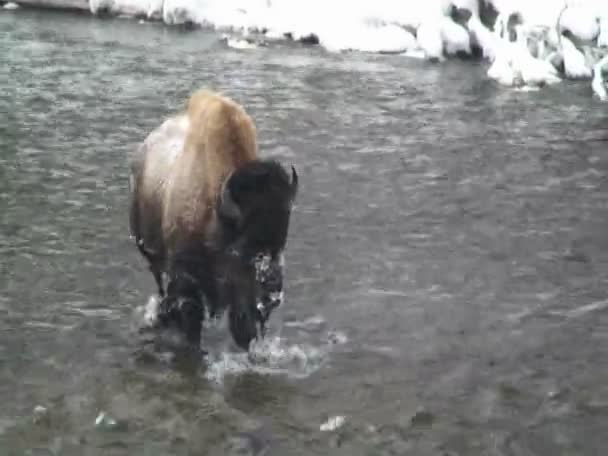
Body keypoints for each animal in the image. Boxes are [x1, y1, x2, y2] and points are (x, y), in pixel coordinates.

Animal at [129, 91, 300, 350]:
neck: (217, 214)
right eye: (242, 248)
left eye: (282, 241)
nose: (272, 295)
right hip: (150, 254)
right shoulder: (187, 282)